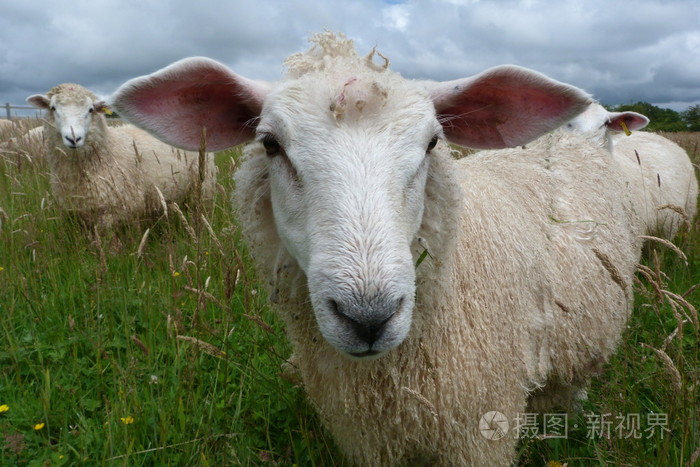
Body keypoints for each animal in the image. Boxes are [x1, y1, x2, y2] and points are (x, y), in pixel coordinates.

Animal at [25, 84, 216, 230]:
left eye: (90, 109)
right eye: (53, 108)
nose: (74, 138)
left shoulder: (116, 210)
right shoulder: (80, 213)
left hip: (203, 184)